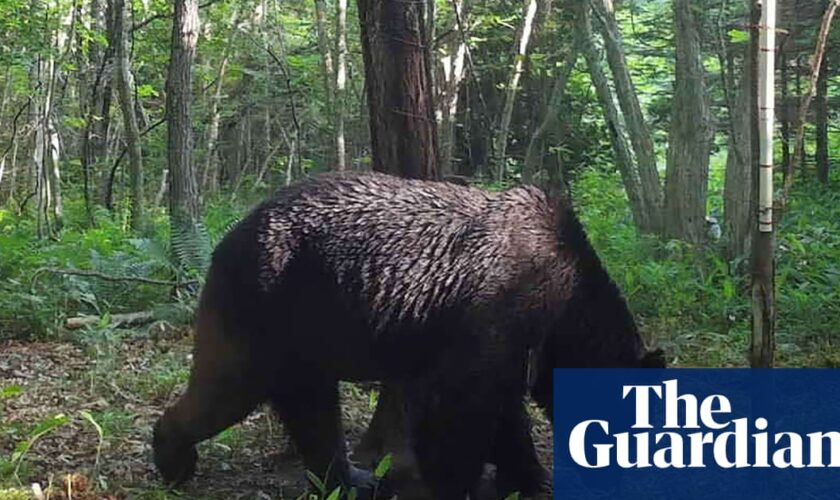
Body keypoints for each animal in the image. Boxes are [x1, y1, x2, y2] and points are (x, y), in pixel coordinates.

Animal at [153, 170, 664, 498]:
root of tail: (227, 237)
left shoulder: (513, 343)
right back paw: (173, 457)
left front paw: (528, 476)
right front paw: (457, 481)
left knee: (311, 409)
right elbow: (459, 407)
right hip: (268, 304)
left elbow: (503, 410)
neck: (565, 305)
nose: (626, 471)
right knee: (228, 386)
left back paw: (350, 478)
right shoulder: (497, 312)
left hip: (305, 333)